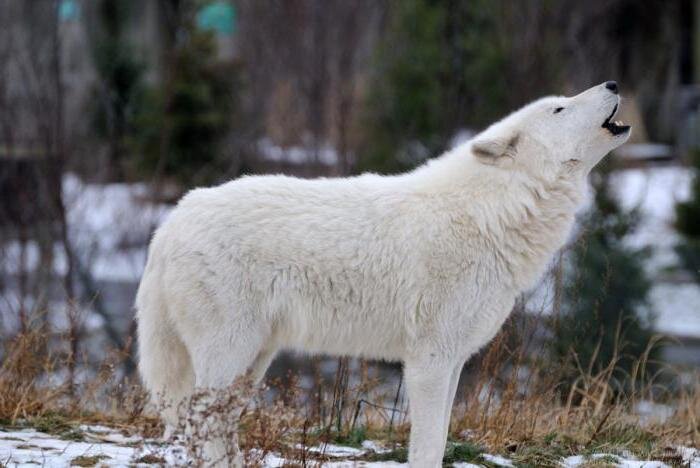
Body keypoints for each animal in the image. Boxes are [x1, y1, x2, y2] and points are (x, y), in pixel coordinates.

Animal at [135, 80, 628, 464]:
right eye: (559, 108)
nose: (613, 84)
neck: (493, 212)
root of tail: (172, 219)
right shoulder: (428, 360)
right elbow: (426, 448)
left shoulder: (453, 361)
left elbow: (443, 438)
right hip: (229, 355)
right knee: (201, 432)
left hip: (252, 362)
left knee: (218, 432)